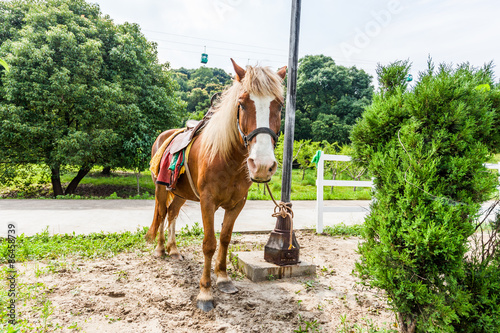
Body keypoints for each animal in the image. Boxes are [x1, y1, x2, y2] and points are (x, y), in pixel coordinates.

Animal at [146, 59, 286, 312]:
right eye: (242, 103)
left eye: (279, 105)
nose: (262, 165)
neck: (228, 158)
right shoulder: (207, 202)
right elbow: (209, 244)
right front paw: (205, 292)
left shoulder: (237, 204)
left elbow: (225, 239)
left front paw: (222, 278)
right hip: (161, 188)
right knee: (161, 213)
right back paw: (161, 249)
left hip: (180, 193)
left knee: (171, 214)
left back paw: (174, 249)